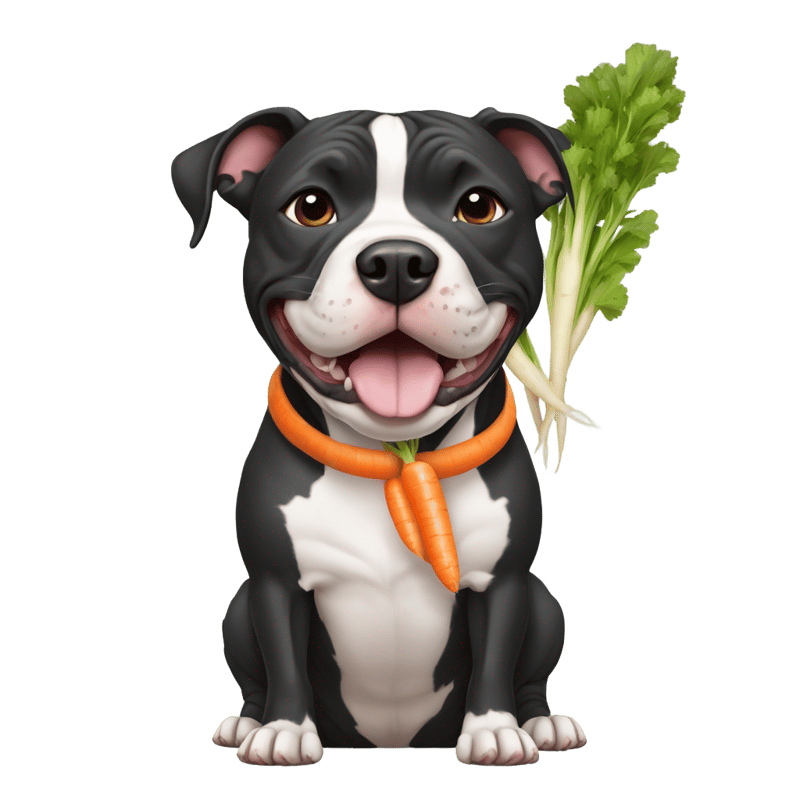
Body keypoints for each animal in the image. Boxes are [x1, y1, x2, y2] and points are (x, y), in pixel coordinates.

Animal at [173, 106, 588, 764]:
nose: (396, 262)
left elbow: (497, 654)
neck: (398, 457)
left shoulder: (504, 582)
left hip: (545, 603)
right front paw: (285, 729)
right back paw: (248, 721)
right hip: (236, 611)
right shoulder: (275, 582)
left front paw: (494, 730)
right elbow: (282, 654)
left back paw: (542, 723)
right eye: (310, 207)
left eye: (479, 207)